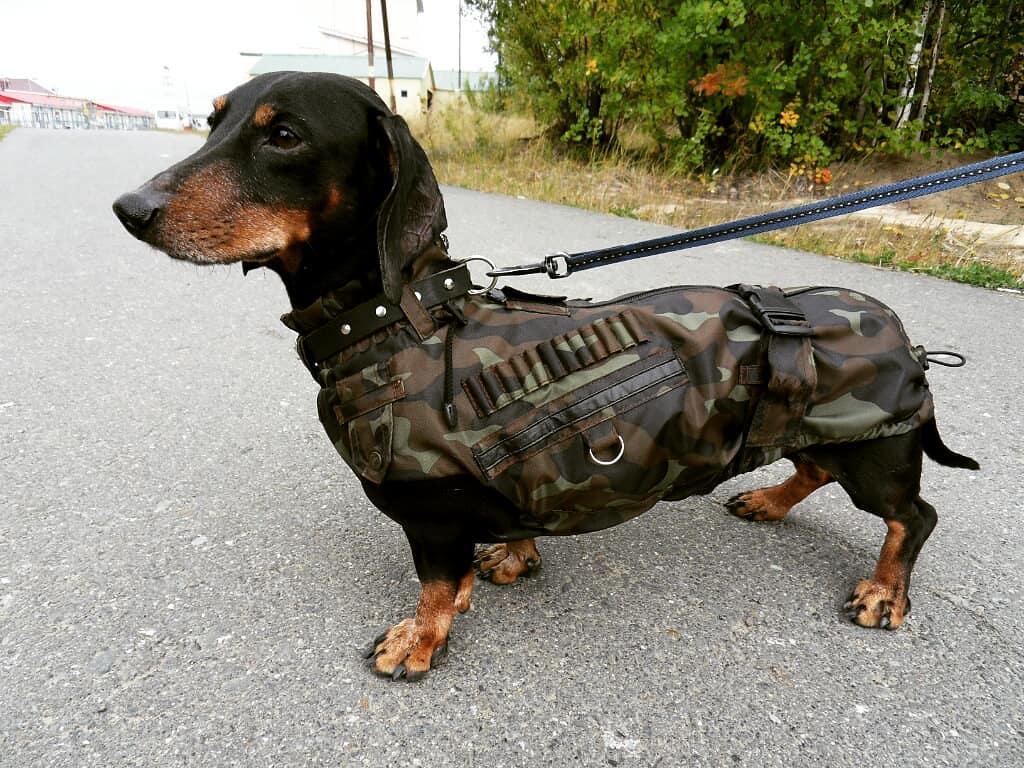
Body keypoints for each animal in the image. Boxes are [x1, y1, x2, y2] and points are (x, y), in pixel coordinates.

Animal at [112, 72, 974, 684]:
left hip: (878, 451)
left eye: (283, 135)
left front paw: (419, 640)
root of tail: (907, 336)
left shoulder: (430, 518)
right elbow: (495, 538)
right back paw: (768, 499)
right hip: (826, 432)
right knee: (813, 467)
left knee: (913, 516)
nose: (129, 208)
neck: (403, 318)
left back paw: (884, 591)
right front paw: (506, 560)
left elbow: (432, 585)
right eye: (213, 120)